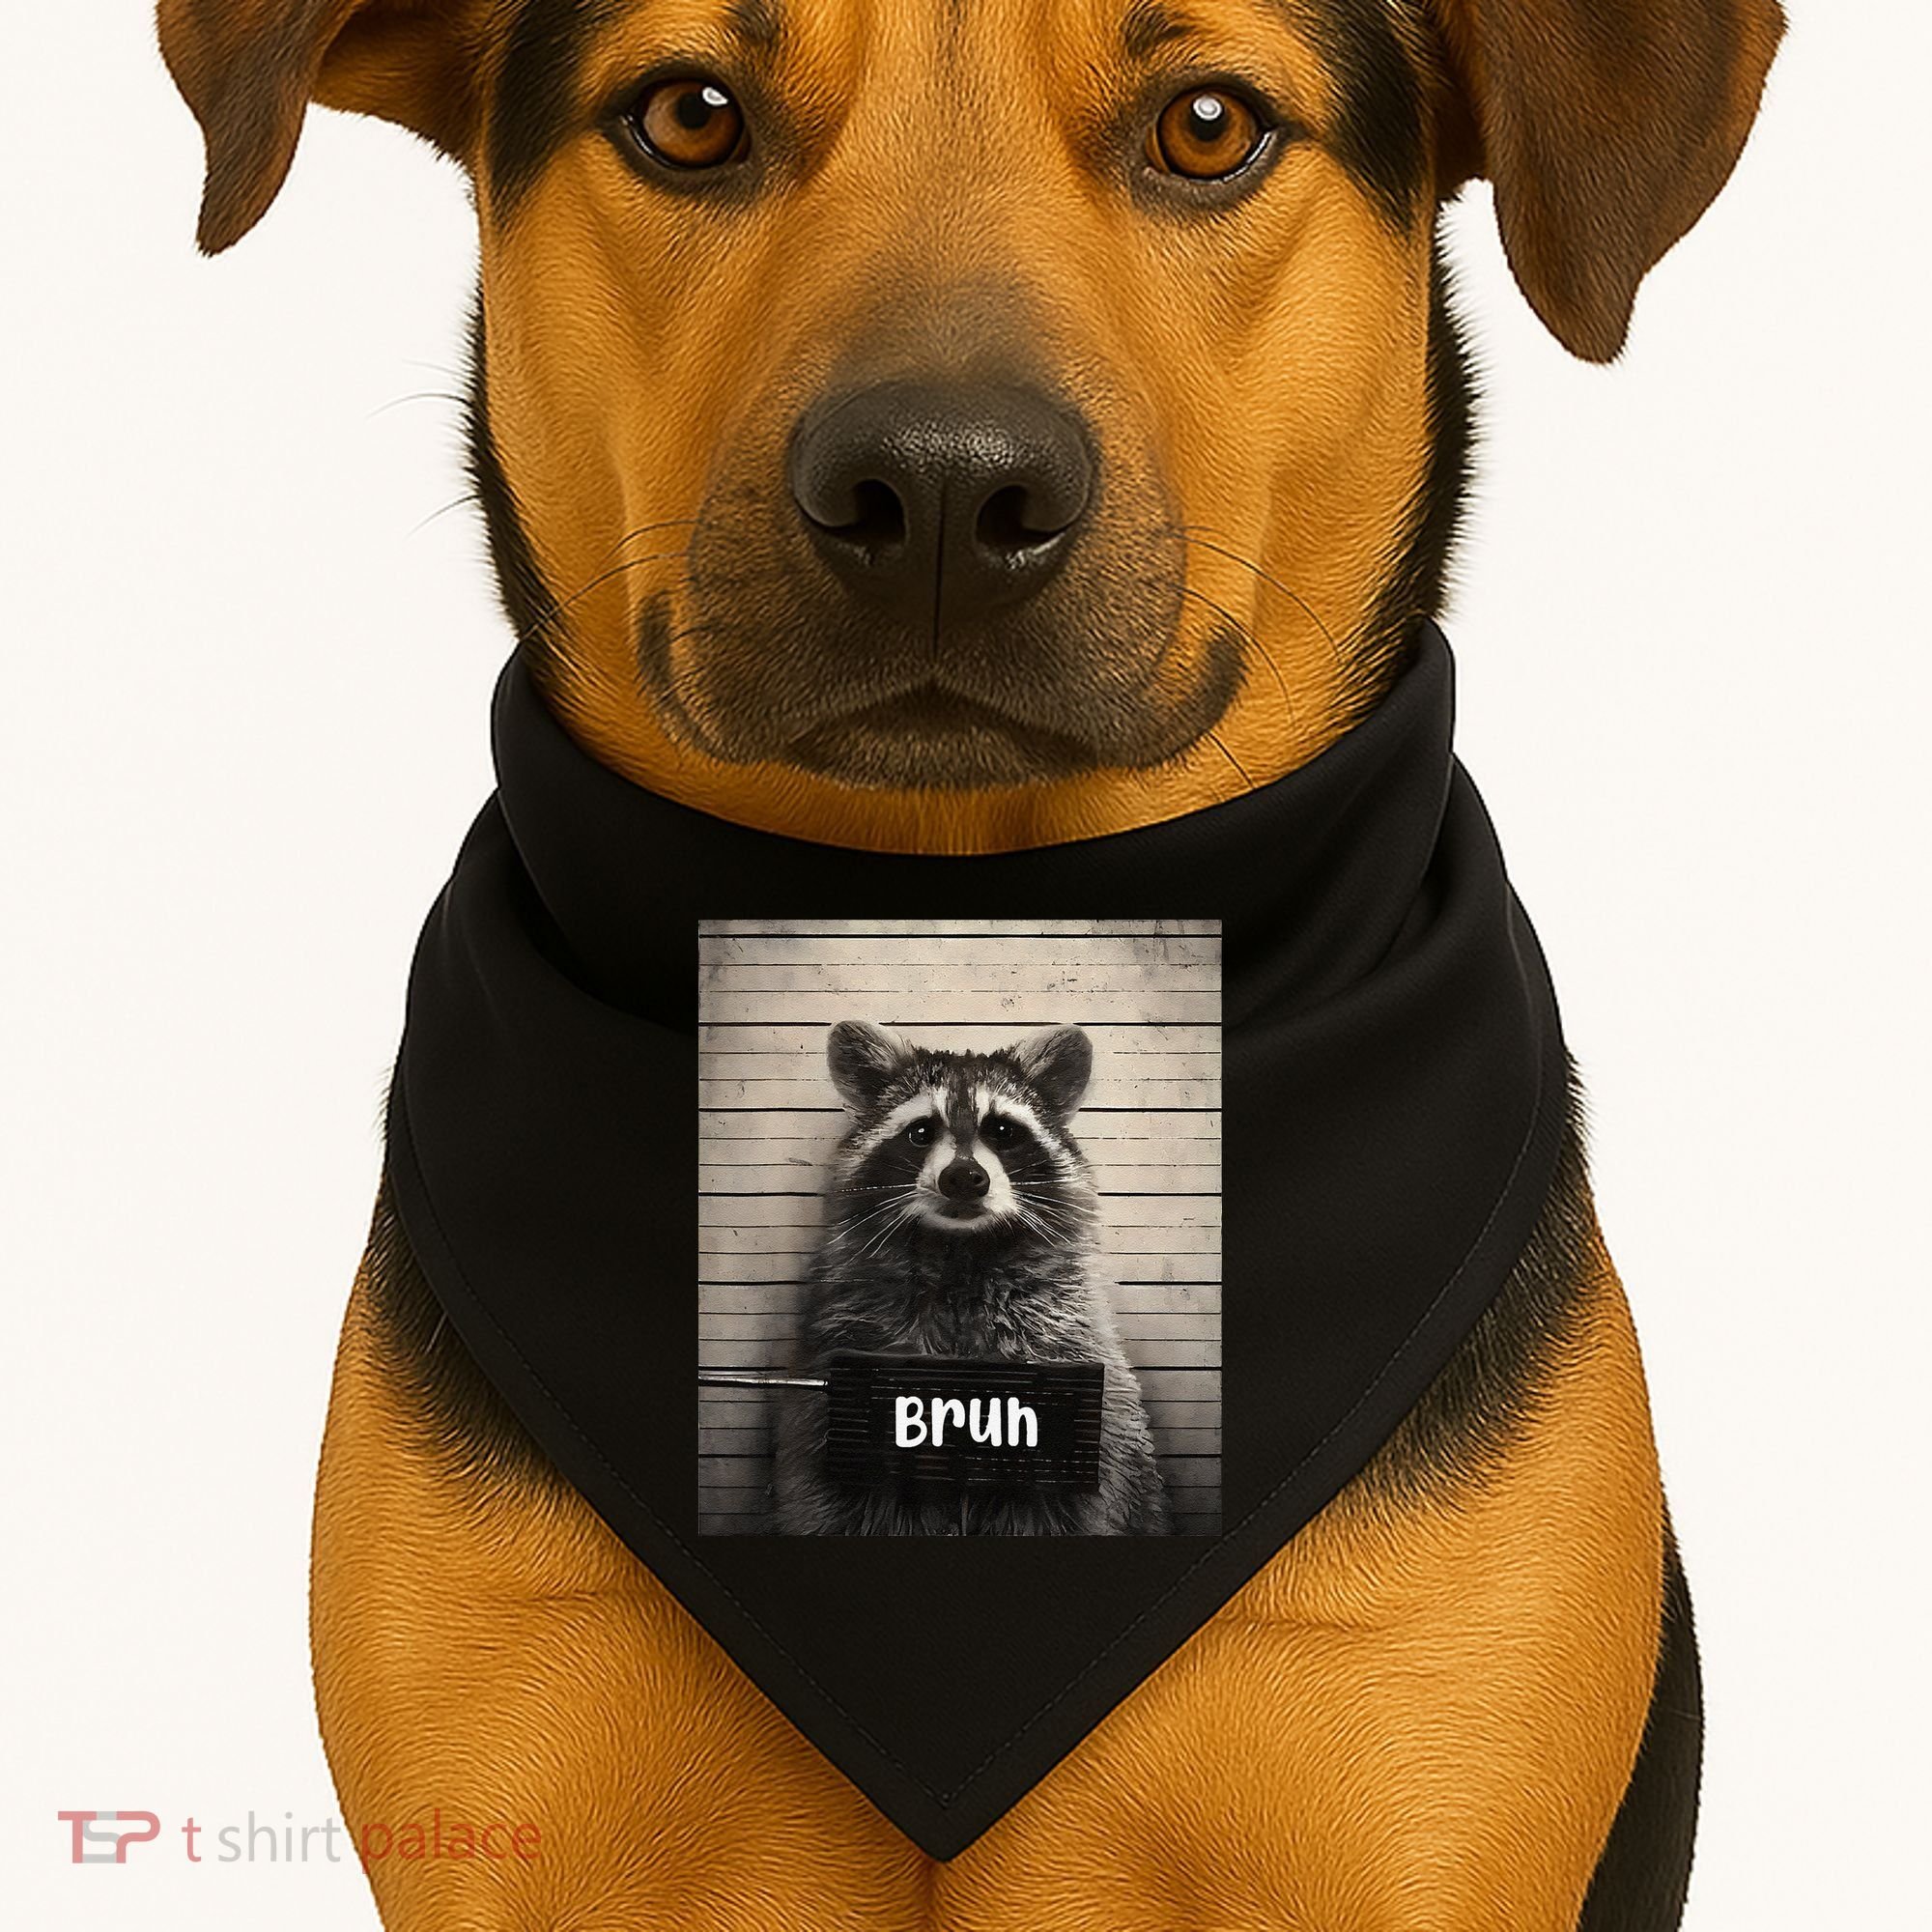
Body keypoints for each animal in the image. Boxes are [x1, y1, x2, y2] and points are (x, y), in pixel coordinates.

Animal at [771, 1020, 1171, 1536]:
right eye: (921, 1132)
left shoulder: (1062, 1334)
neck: (960, 1251)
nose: (963, 1177)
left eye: (1002, 1130)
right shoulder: (852, 1339)